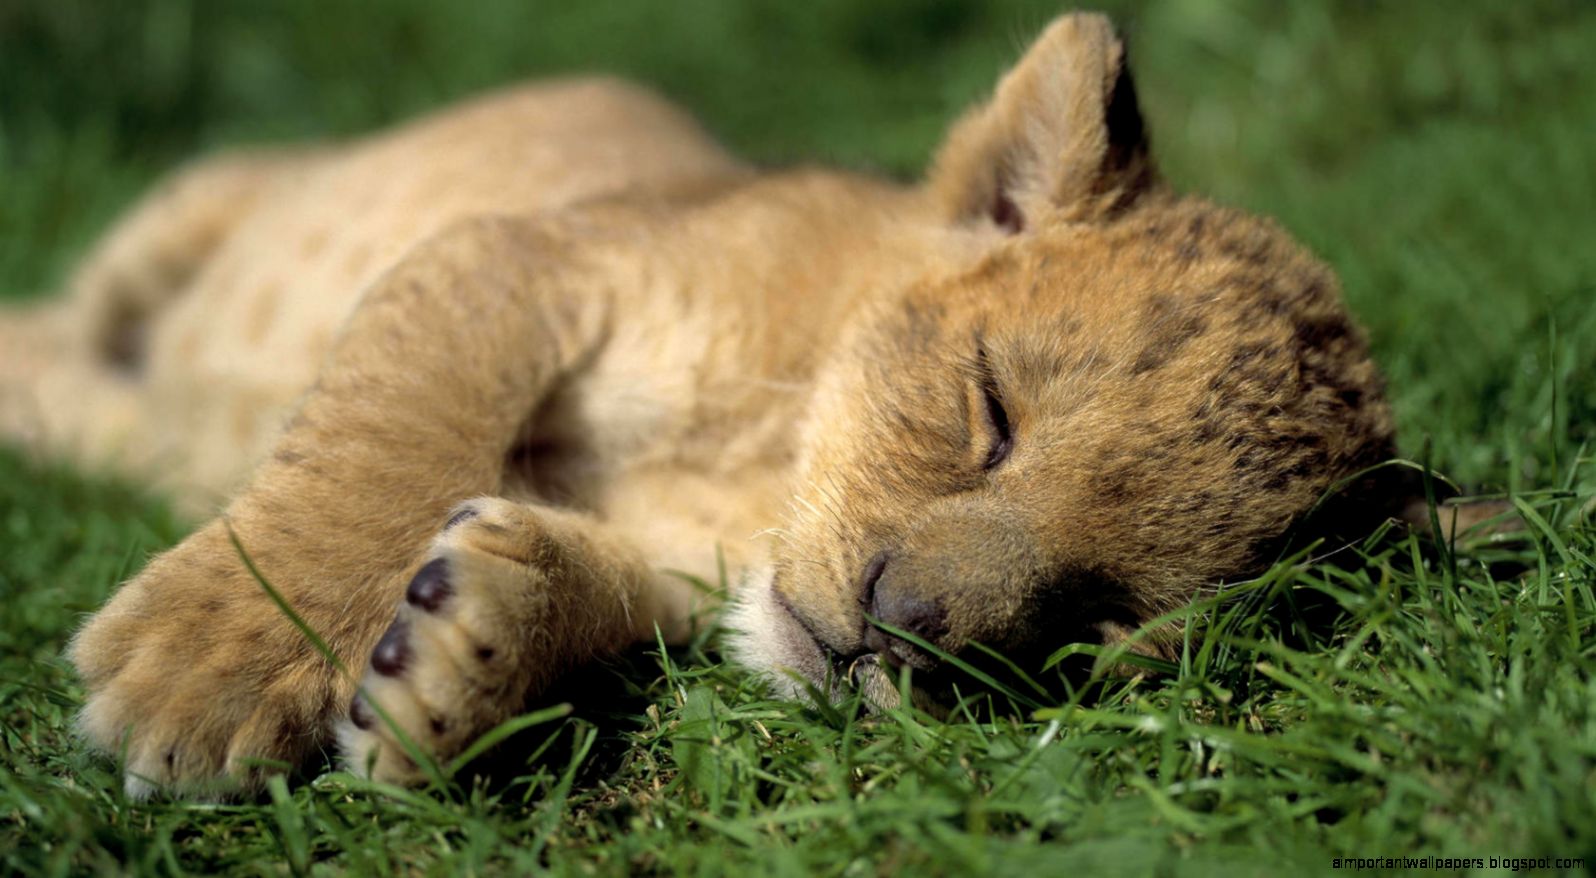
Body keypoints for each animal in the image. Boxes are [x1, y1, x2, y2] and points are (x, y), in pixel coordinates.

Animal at [0, 12, 1395, 797]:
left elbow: (584, 579)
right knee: (68, 318)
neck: (756, 473)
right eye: (991, 412)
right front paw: (211, 672)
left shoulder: (679, 577)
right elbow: (386, 442)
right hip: (196, 205)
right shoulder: (522, 256)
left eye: (1102, 611)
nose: (902, 630)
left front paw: (459, 654)